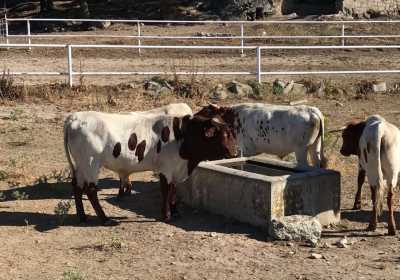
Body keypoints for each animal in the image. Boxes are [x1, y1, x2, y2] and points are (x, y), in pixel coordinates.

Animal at [63, 105, 236, 225]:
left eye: (230, 132)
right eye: (222, 134)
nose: (233, 153)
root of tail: (74, 117)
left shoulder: (176, 169)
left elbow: (173, 190)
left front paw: (175, 212)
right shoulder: (166, 169)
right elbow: (166, 191)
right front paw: (166, 215)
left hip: (80, 165)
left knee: (77, 186)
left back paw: (82, 217)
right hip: (90, 163)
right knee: (90, 190)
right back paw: (105, 220)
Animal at [195, 103, 326, 167]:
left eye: (206, 111)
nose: (194, 116)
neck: (234, 116)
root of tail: (312, 111)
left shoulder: (247, 149)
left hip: (301, 150)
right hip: (315, 146)